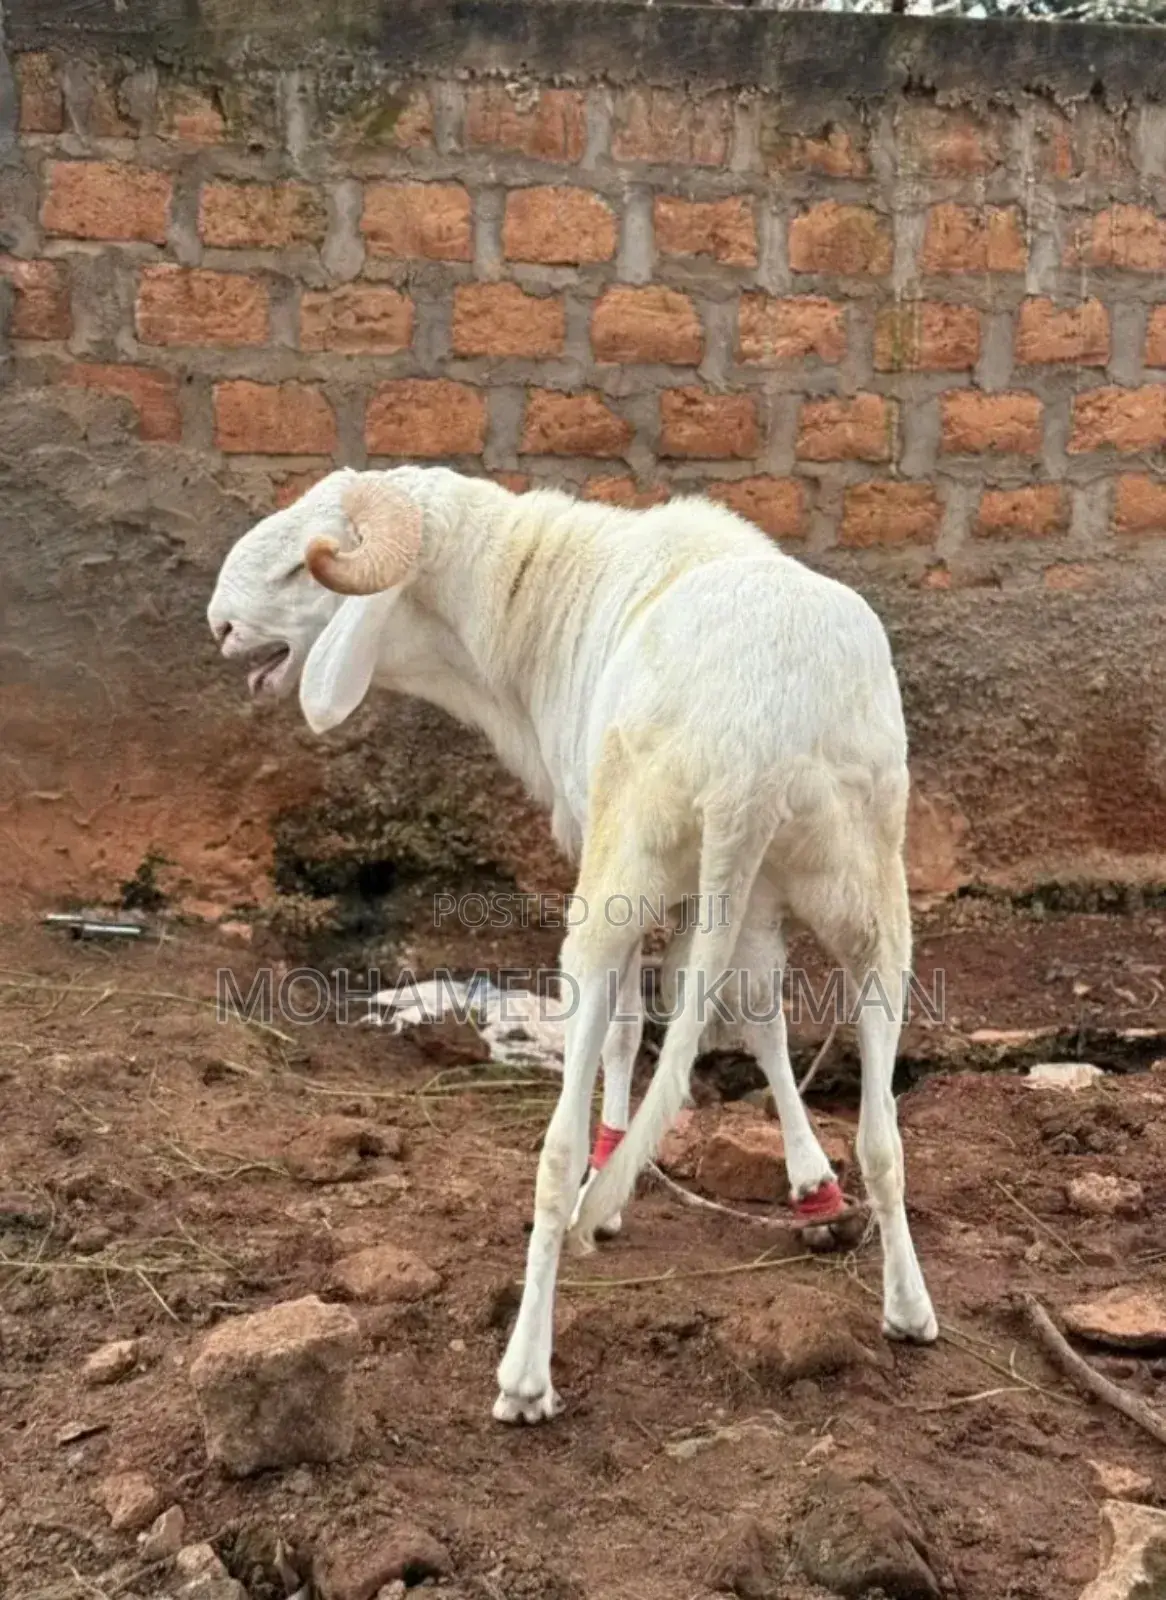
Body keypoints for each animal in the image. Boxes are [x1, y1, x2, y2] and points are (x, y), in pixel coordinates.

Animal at [207, 464, 938, 1425]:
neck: (536, 599)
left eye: (303, 568)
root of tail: (755, 736)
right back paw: (908, 1304)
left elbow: (631, 1030)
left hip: (621, 872)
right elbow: (759, 1017)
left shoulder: (611, 844)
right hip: (865, 874)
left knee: (557, 1143)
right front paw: (809, 1181)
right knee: (885, 1130)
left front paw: (613, 1166)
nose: (220, 625)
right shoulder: (750, 897)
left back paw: (526, 1370)